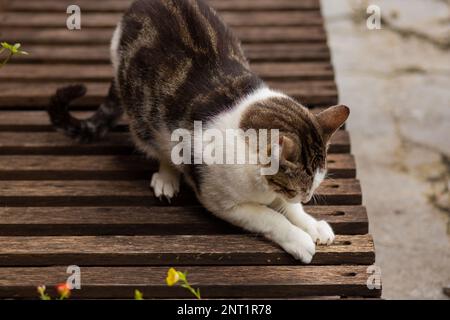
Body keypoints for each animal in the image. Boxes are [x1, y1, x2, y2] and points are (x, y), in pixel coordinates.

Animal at [50, 0, 352, 262]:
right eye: (298, 186)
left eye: (315, 184)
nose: (308, 197)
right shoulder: (221, 201)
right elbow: (271, 217)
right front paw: (299, 239)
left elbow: (289, 208)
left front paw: (311, 224)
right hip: (142, 114)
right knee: (159, 145)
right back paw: (167, 176)